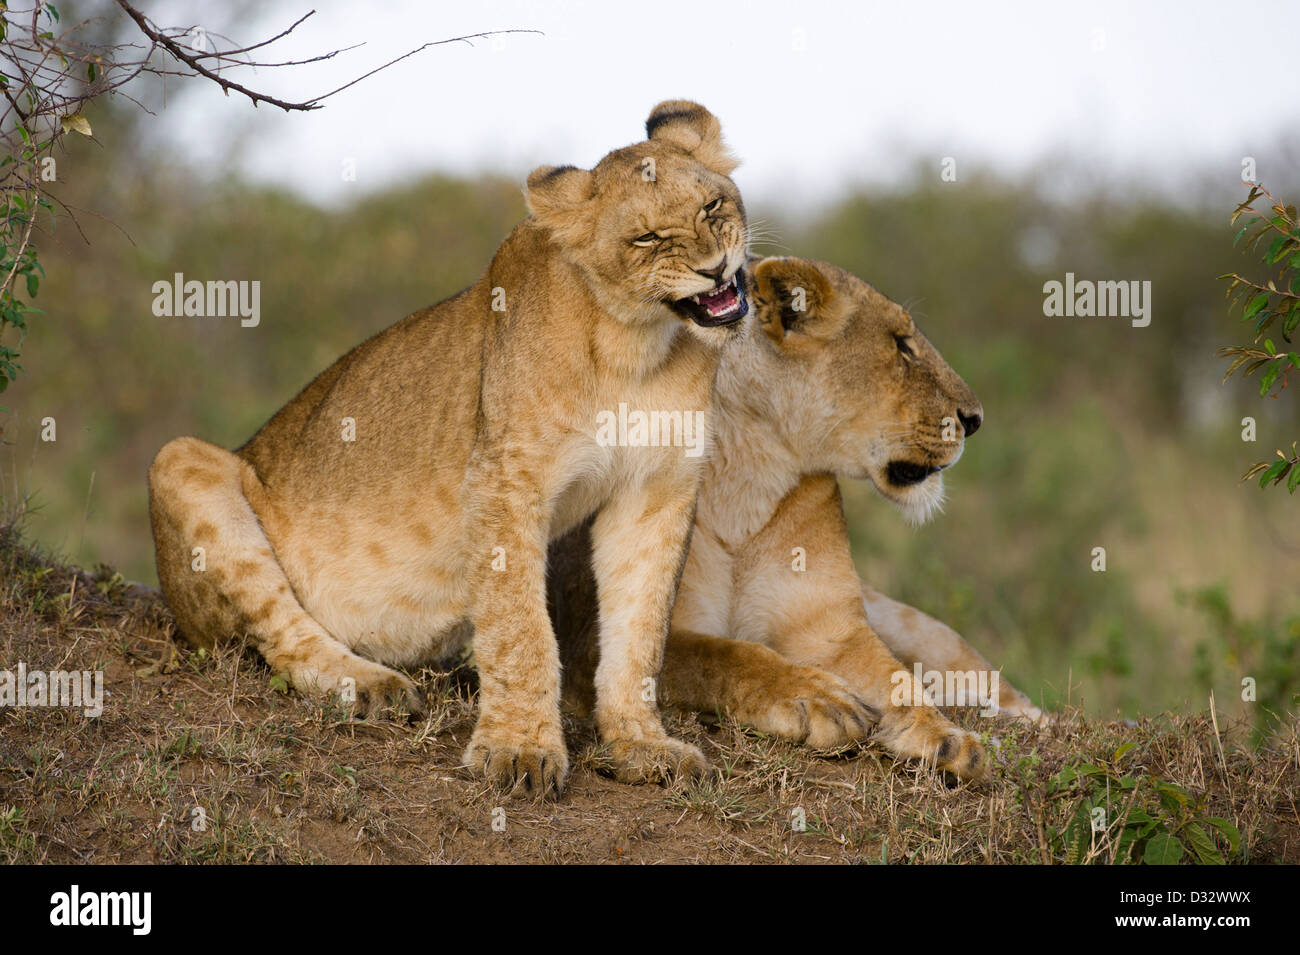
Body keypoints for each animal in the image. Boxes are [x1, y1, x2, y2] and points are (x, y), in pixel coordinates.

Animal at [147, 101, 752, 797]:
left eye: (712, 206)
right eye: (649, 239)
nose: (714, 268)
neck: (637, 346)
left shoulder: (657, 491)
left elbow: (641, 629)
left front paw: (640, 744)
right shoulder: (502, 483)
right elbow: (520, 628)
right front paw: (519, 750)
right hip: (179, 461)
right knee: (278, 635)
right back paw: (372, 687)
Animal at [551, 256, 1045, 782]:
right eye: (901, 345)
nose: (974, 419)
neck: (750, 471)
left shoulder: (832, 630)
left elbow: (897, 679)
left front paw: (947, 737)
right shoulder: (591, 640)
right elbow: (723, 654)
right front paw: (818, 700)